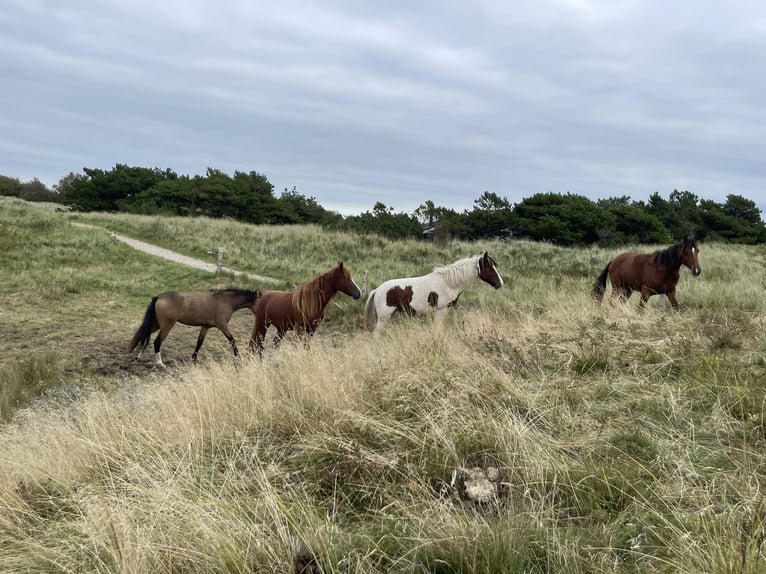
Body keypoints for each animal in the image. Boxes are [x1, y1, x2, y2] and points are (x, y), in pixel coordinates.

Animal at [129, 288, 262, 367]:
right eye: (261, 301)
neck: (225, 301)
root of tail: (159, 297)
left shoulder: (205, 327)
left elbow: (199, 342)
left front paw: (194, 359)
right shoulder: (223, 326)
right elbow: (232, 340)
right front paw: (238, 356)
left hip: (156, 324)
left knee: (144, 337)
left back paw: (138, 357)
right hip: (166, 326)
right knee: (157, 342)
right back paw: (160, 363)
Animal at [364, 252, 503, 332]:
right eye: (490, 267)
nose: (500, 283)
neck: (448, 283)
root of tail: (377, 290)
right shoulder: (441, 310)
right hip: (383, 318)